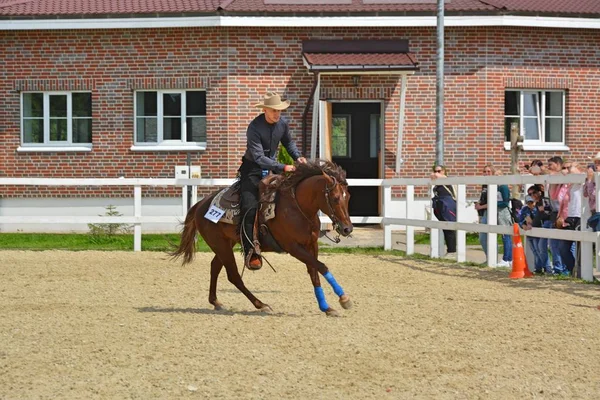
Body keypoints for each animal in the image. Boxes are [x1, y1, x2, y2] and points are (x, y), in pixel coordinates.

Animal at [171, 159, 354, 316]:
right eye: (335, 198)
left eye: (348, 197)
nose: (347, 228)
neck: (297, 208)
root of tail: (200, 205)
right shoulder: (293, 247)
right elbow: (322, 266)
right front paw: (344, 299)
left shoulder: (311, 244)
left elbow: (314, 272)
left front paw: (326, 307)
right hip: (220, 245)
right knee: (234, 276)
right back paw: (261, 304)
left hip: (226, 244)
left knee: (215, 266)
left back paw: (216, 302)